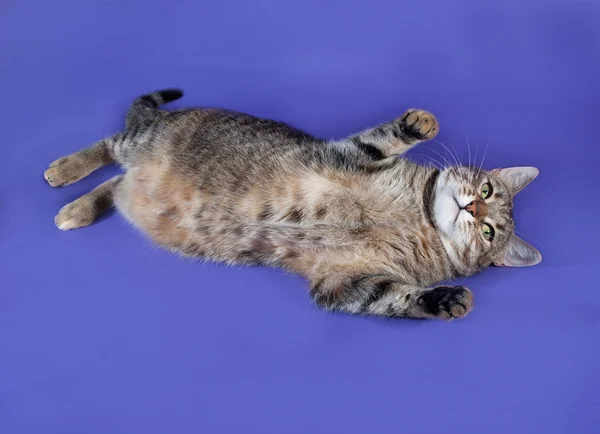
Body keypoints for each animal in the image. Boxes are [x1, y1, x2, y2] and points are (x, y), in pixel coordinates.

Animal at [43, 89, 540, 318]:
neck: (417, 218)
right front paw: (420, 123)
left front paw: (446, 299)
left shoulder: (344, 282)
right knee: (109, 147)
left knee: (115, 185)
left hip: (137, 180)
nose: (473, 209)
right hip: (141, 140)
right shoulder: (353, 154)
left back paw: (79, 208)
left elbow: (398, 299)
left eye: (490, 231)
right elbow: (387, 136)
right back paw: (65, 172)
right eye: (487, 191)